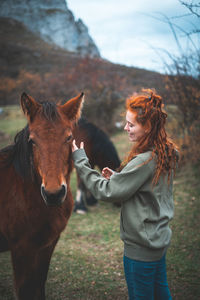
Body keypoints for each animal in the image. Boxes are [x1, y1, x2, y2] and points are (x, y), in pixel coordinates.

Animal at [0, 92, 84, 298]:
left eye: (69, 137)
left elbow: (38, 288)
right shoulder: (21, 250)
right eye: (32, 141)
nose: (53, 194)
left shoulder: (46, 246)